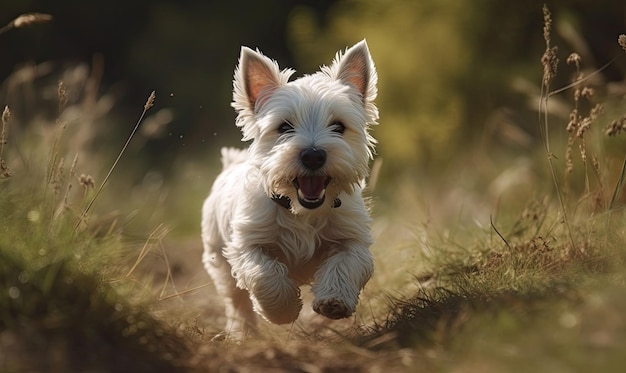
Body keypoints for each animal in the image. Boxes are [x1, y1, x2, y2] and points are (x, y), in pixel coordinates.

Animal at [201, 40, 376, 338]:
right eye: (284, 127)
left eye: (338, 126)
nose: (313, 155)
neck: (300, 210)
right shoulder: (246, 244)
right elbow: (264, 274)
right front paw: (282, 311)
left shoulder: (351, 237)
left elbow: (346, 263)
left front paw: (334, 301)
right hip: (218, 258)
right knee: (235, 300)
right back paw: (242, 333)